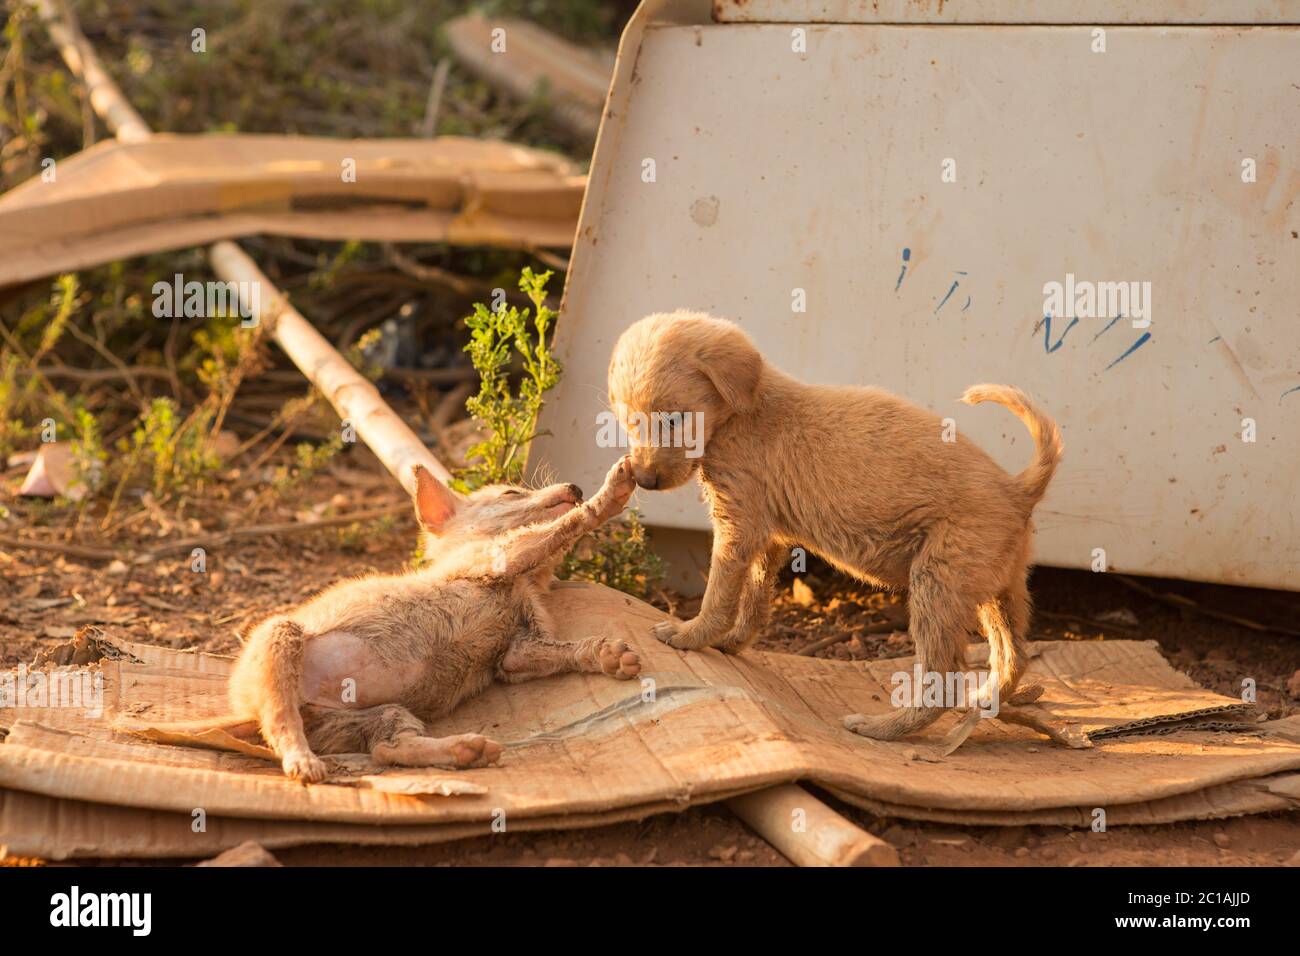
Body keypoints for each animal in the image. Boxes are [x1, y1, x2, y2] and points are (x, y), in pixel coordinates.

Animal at [138, 457, 639, 785]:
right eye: (511, 492)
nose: (574, 486)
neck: (524, 583)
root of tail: (242, 711)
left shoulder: (516, 654)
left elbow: (563, 651)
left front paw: (608, 655)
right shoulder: (497, 557)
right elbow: (561, 528)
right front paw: (607, 497)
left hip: (379, 715)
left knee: (386, 748)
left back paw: (464, 750)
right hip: (282, 640)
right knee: (281, 723)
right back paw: (303, 762)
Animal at [603, 310, 1060, 743]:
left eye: (675, 420)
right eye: (630, 423)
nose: (644, 480)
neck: (745, 412)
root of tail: (1018, 489)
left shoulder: (738, 527)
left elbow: (718, 595)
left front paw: (690, 635)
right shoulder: (768, 536)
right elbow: (754, 599)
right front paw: (732, 641)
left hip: (937, 586)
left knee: (942, 684)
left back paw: (882, 728)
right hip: (998, 594)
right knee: (1013, 658)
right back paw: (984, 701)